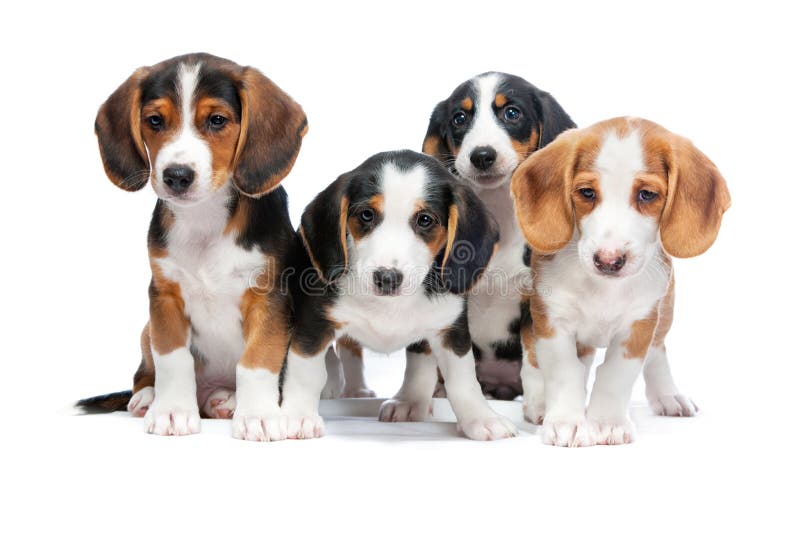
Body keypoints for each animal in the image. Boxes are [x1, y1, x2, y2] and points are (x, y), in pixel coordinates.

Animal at [78, 52, 308, 442]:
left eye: (217, 120)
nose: (177, 176)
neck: (205, 218)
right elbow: (173, 360)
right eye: (155, 121)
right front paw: (172, 411)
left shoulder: (268, 300)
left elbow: (257, 361)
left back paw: (227, 401)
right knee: (144, 374)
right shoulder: (165, 296)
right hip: (146, 328)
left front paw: (259, 415)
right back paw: (148, 398)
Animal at [282, 149, 520, 442]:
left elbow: (460, 379)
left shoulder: (450, 329)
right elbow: (305, 373)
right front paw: (298, 416)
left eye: (425, 219)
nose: (387, 278)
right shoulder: (314, 324)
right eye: (366, 215)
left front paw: (478, 417)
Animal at [512, 117, 732, 448]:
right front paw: (566, 421)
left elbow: (616, 374)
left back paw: (668, 395)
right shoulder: (552, 320)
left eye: (647, 195)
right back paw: (539, 403)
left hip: (665, 311)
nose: (608, 260)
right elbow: (564, 372)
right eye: (587, 193)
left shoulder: (639, 325)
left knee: (657, 352)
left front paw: (606, 423)